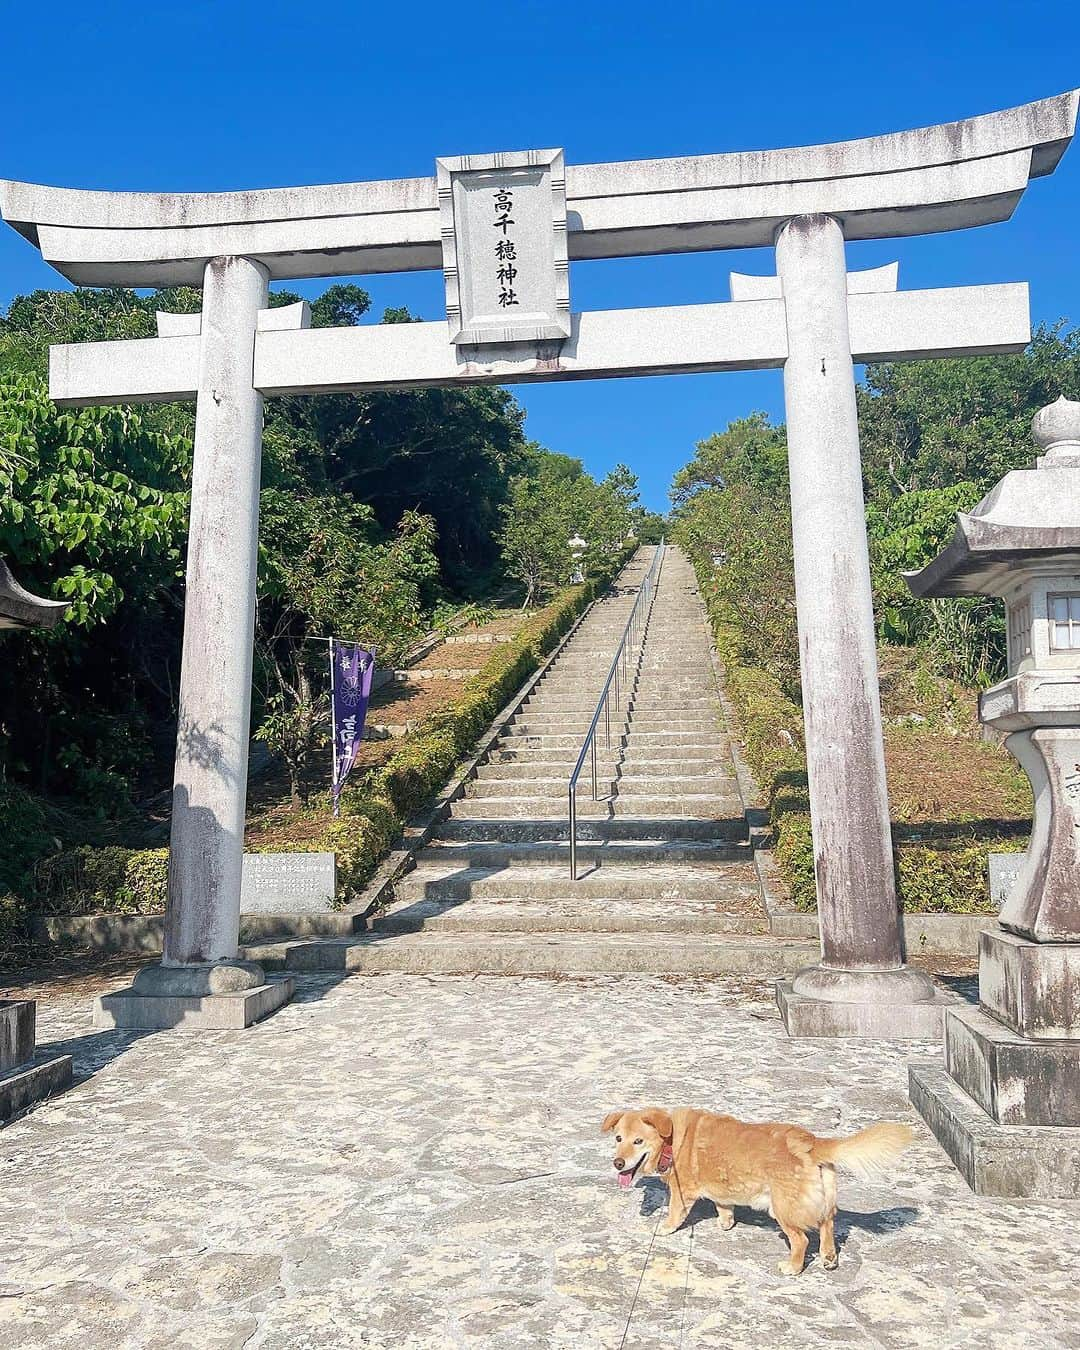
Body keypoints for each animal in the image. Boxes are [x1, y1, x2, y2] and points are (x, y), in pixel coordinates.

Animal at [602, 1107, 918, 1274]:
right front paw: (726, 1222)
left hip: (782, 1210)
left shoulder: (683, 1192)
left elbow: (675, 1212)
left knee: (802, 1239)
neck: (672, 1139)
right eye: (618, 1138)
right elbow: (724, 1205)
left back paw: (792, 1267)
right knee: (828, 1223)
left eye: (638, 1141)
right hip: (822, 1201)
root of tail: (810, 1142)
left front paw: (665, 1228)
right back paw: (828, 1257)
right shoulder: (722, 1189)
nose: (618, 1163)